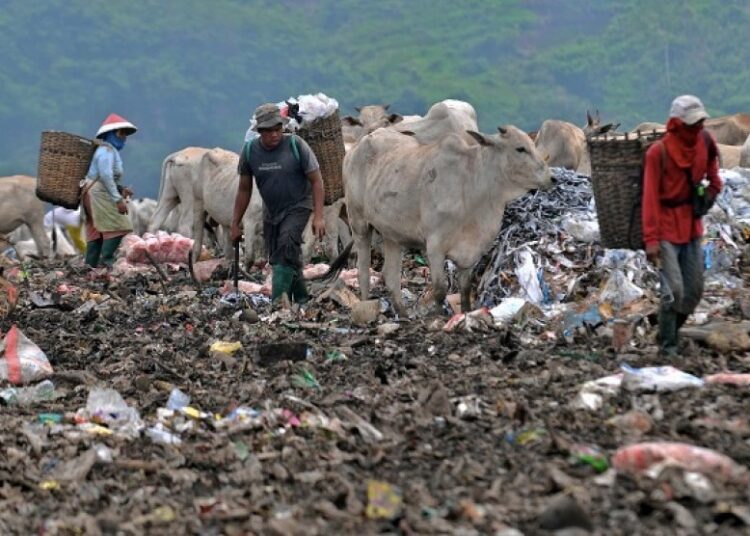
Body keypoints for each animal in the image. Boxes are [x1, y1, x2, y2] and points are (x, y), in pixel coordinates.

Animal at [346, 125, 552, 314]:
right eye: (520, 148)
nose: (551, 178)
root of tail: (359, 145)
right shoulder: (435, 246)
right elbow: (440, 289)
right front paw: (438, 318)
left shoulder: (470, 253)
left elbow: (465, 288)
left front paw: (466, 313)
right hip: (358, 222)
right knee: (363, 270)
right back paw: (365, 305)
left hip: (392, 234)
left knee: (391, 276)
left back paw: (403, 314)